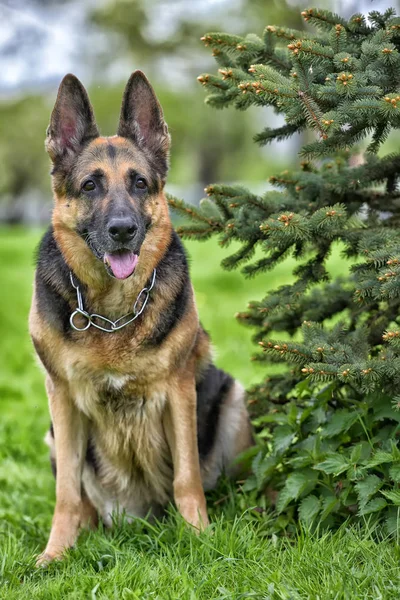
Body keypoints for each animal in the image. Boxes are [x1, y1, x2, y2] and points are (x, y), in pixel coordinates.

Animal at [29, 72, 252, 564]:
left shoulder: (179, 391)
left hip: (232, 396)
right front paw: (55, 553)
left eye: (139, 183)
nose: (123, 230)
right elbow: (66, 494)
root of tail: (143, 515)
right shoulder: (62, 398)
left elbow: (187, 477)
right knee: (82, 498)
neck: (112, 315)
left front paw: (200, 537)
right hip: (54, 435)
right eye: (89, 186)